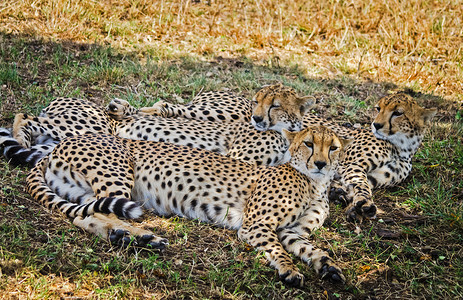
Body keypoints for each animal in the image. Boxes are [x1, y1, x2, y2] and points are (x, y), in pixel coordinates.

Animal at [26, 126, 352, 286]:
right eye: (309, 144)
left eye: (333, 147)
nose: (321, 163)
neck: (314, 183)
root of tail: (56, 146)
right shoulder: (255, 225)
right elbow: (278, 251)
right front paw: (288, 270)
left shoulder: (292, 232)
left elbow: (311, 248)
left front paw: (328, 267)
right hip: (116, 173)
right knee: (97, 213)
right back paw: (141, 237)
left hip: (84, 191)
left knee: (88, 215)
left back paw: (124, 237)